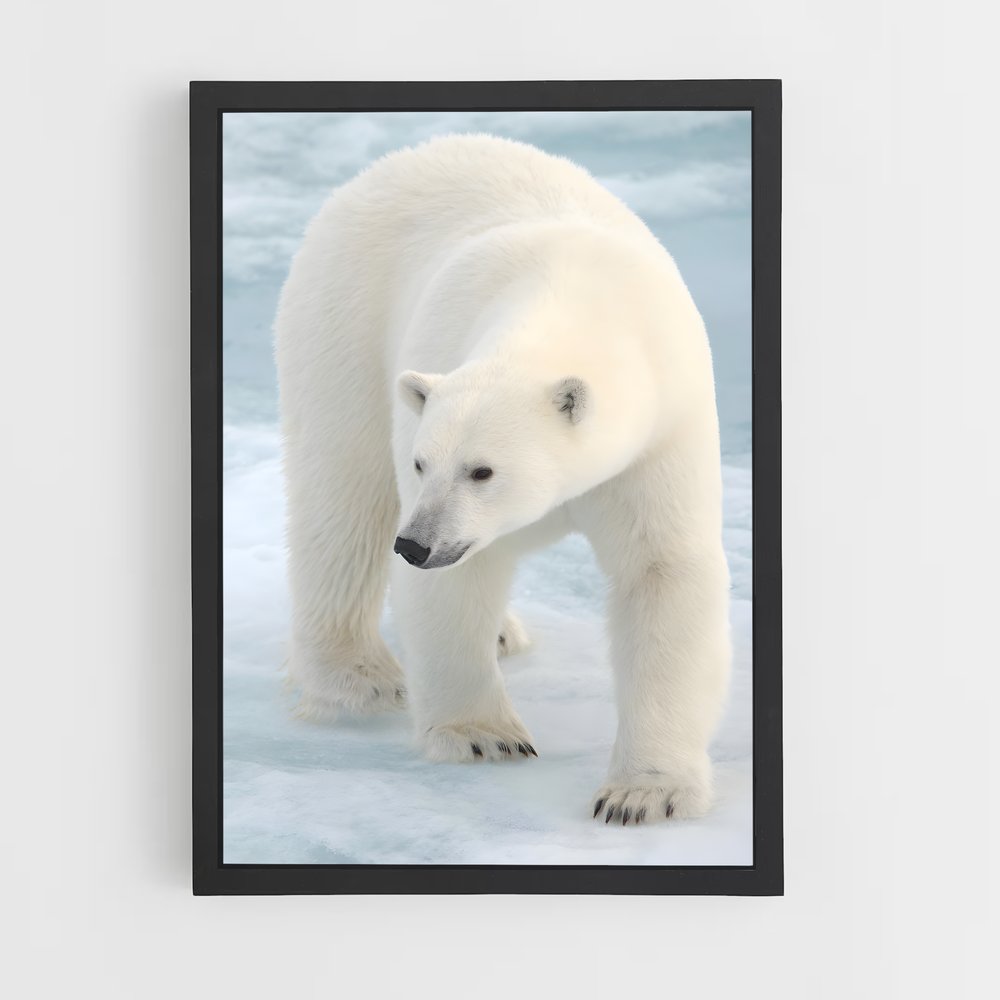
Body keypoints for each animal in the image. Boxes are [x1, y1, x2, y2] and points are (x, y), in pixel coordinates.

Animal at [274, 134, 731, 825]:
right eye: (422, 463)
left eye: (482, 470)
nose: (415, 545)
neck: (575, 299)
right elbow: (458, 582)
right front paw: (484, 736)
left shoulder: (660, 434)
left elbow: (663, 570)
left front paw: (641, 794)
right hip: (343, 318)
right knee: (344, 493)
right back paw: (359, 678)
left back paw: (501, 632)